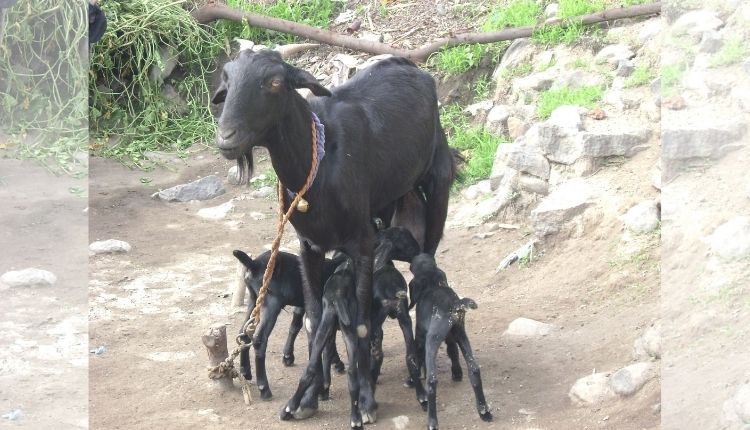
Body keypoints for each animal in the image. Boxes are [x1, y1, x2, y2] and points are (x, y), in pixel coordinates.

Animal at [213, 50, 458, 426]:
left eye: (274, 81)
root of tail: (408, 64)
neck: (322, 165)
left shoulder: (362, 244)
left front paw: (366, 402)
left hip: (438, 182)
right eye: (227, 80)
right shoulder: (309, 247)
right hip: (386, 205)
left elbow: (359, 325)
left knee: (428, 261)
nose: (227, 137)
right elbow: (315, 323)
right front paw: (308, 398)